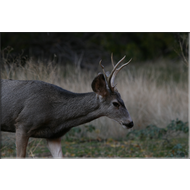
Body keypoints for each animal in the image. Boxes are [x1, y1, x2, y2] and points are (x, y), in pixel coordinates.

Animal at [0, 54, 134, 157]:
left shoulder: (53, 136)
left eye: (123, 100)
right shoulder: (22, 125)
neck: (55, 113)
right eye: (115, 103)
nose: (130, 122)